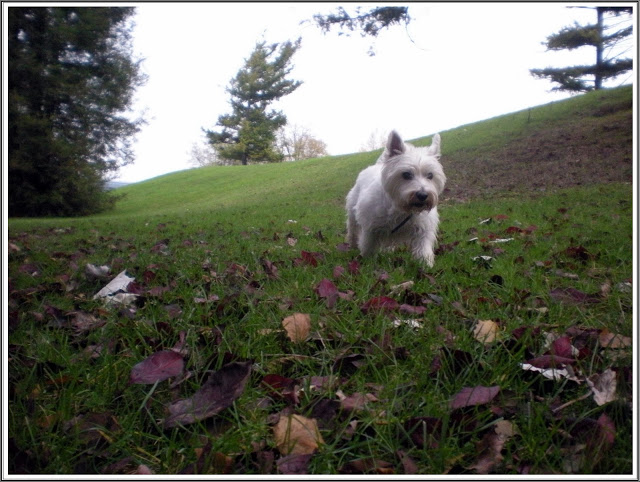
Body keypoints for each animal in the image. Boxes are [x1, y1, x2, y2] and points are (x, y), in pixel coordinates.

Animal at [344, 131, 444, 268]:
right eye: (406, 174)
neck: (402, 208)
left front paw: (425, 265)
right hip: (352, 212)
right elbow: (368, 247)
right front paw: (368, 263)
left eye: (430, 175)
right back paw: (353, 244)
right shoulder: (371, 228)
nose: (423, 195)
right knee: (353, 230)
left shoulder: (423, 229)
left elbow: (423, 249)